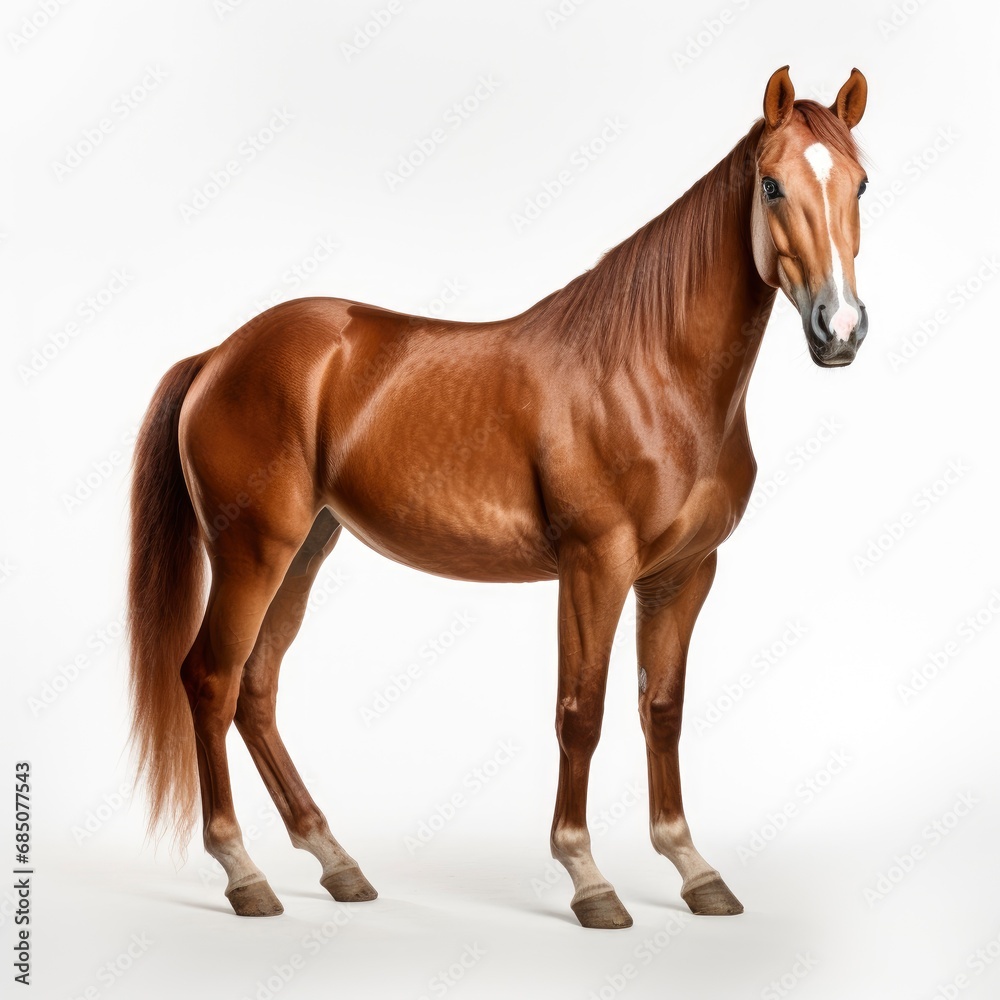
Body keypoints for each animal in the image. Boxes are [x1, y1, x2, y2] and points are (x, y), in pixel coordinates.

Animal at [127, 65, 870, 929]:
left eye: (861, 182)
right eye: (772, 184)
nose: (840, 329)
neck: (652, 372)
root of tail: (219, 355)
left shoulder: (683, 573)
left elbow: (663, 709)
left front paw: (694, 869)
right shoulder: (594, 566)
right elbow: (582, 713)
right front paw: (589, 880)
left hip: (306, 547)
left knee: (256, 688)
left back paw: (336, 863)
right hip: (252, 551)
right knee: (211, 679)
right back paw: (244, 875)